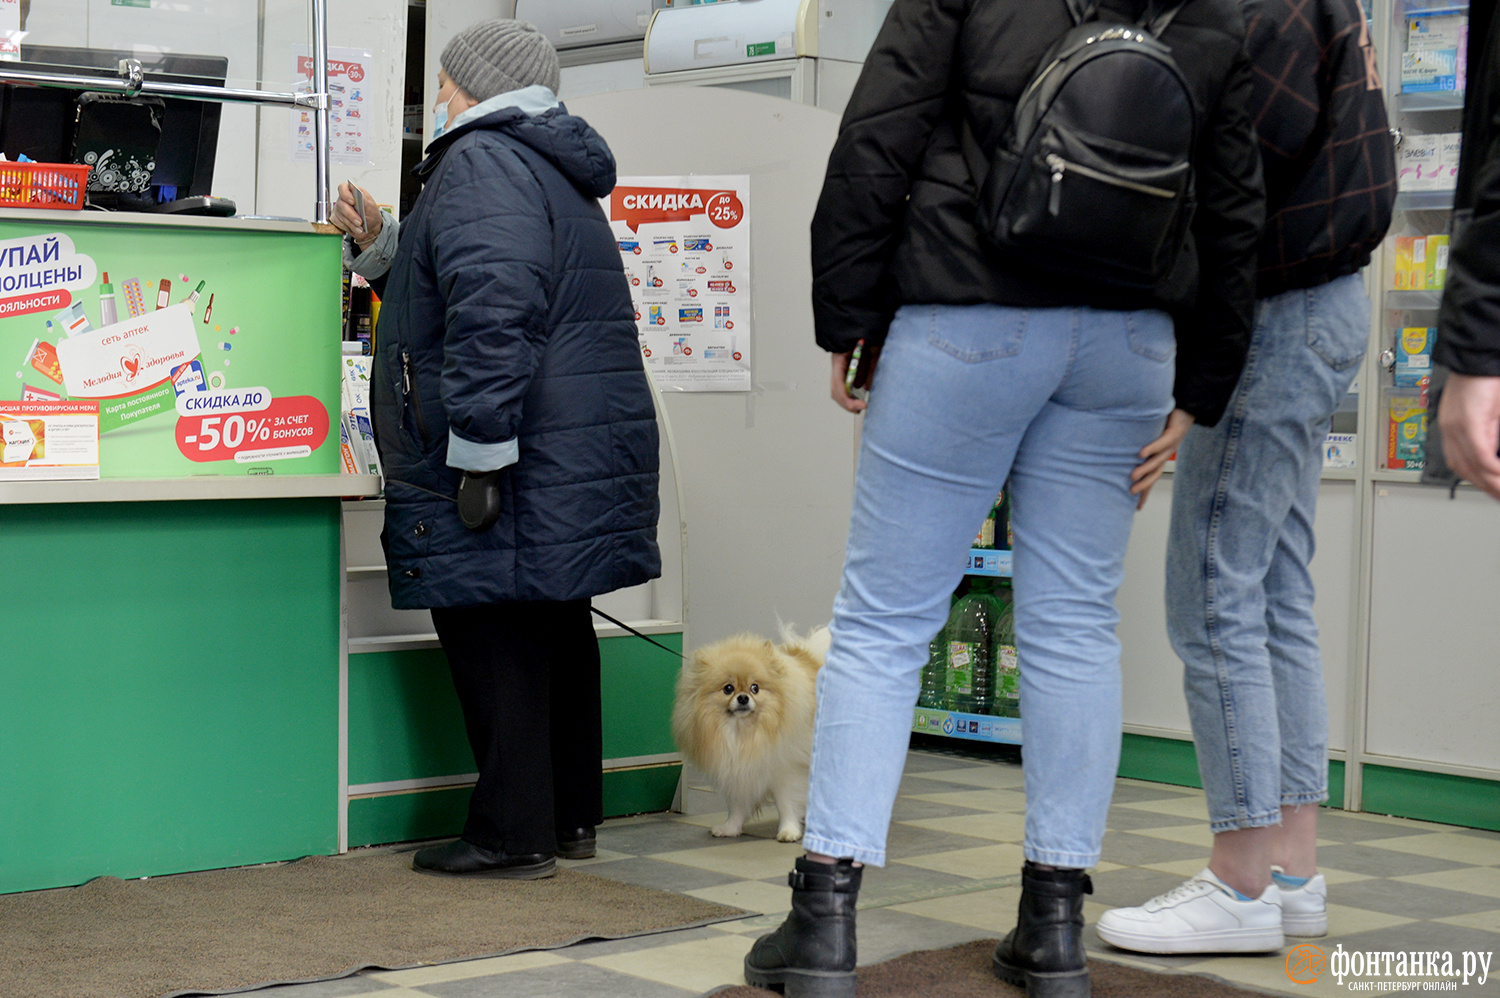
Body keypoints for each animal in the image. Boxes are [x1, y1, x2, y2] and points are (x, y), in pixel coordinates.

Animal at [672, 627, 834, 834]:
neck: (744, 733)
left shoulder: (786, 769)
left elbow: (786, 803)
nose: (743, 697)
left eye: (755, 687)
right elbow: (737, 805)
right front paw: (730, 828)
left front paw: (788, 831)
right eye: (728, 688)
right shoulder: (739, 770)